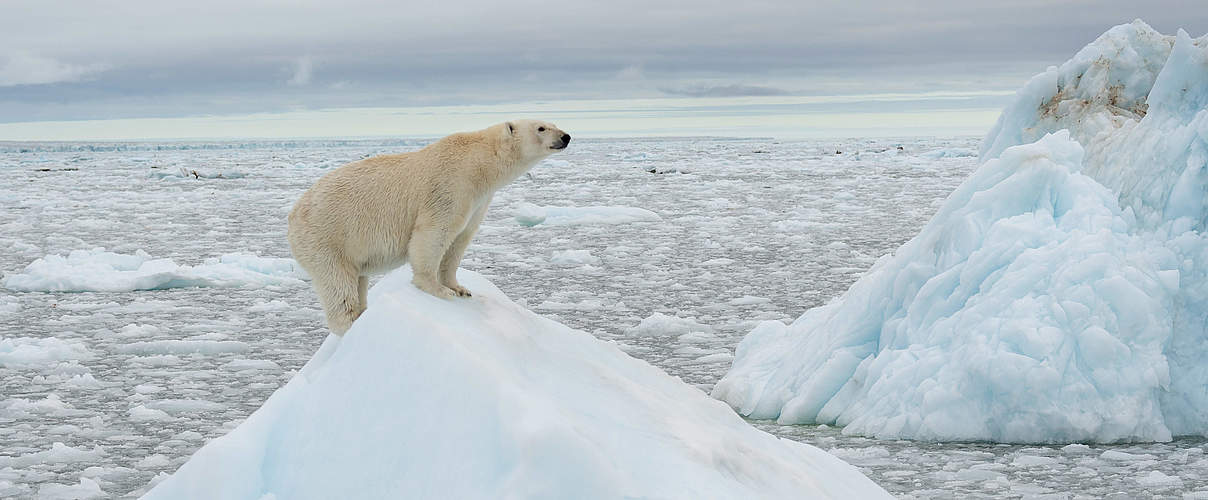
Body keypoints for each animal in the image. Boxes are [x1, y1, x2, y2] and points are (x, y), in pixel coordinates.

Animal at [287, 118, 570, 333]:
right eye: (541, 128)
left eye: (554, 123)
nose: (566, 136)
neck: (479, 163)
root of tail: (293, 216)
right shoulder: (450, 185)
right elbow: (435, 233)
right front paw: (438, 289)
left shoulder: (478, 201)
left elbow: (459, 241)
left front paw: (459, 288)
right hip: (327, 239)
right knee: (338, 284)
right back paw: (350, 324)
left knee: (358, 279)